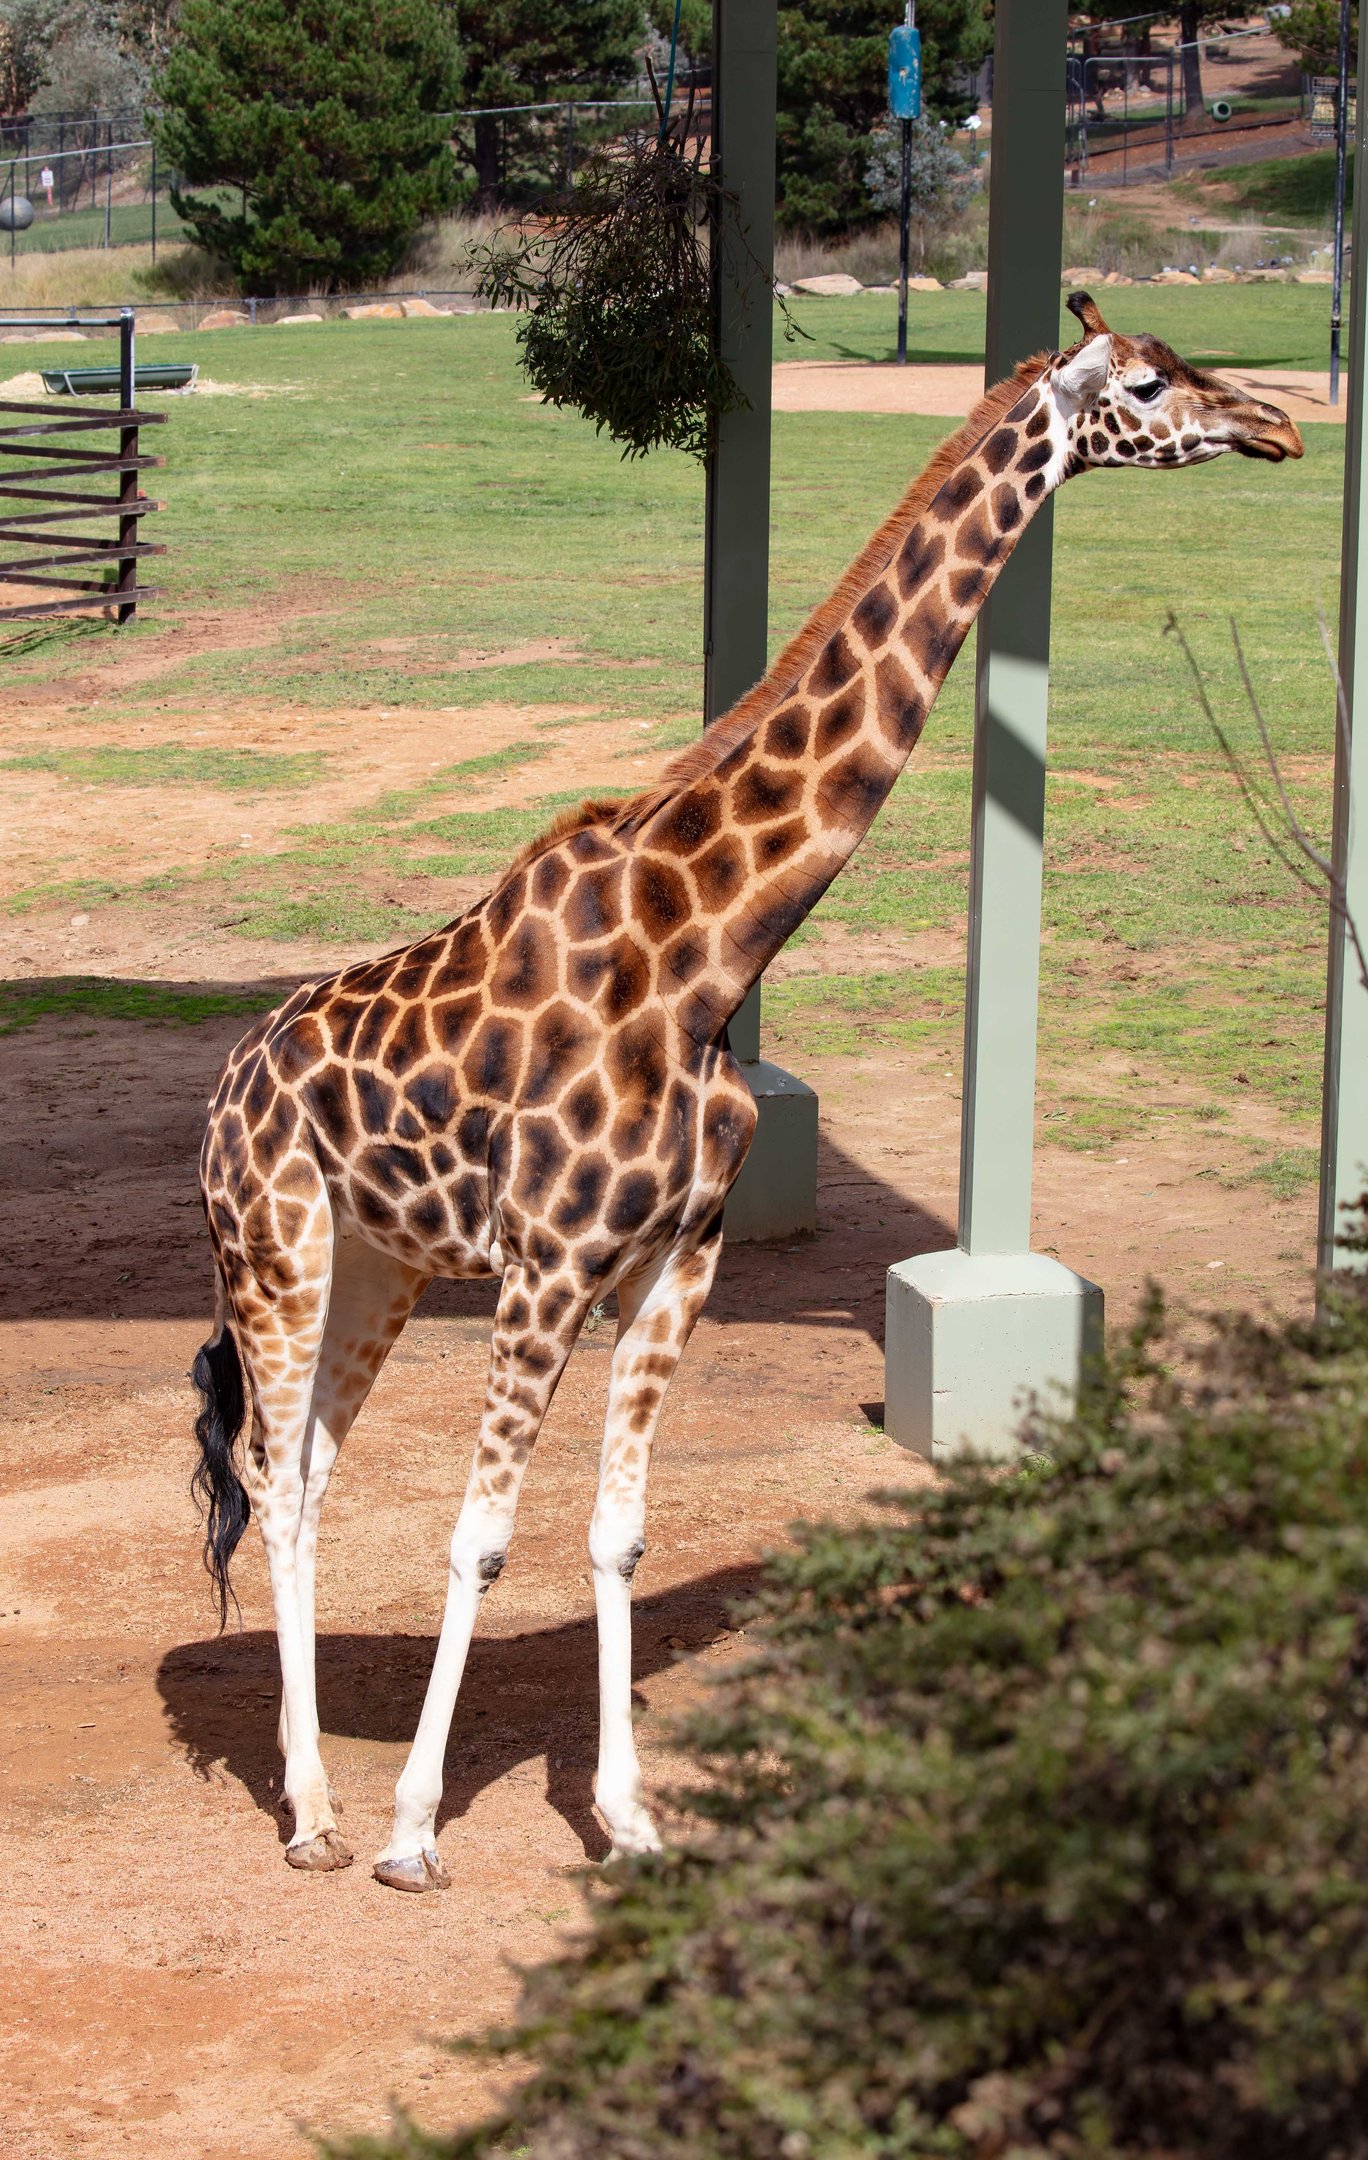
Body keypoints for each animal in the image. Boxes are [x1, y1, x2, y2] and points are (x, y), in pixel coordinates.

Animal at [193, 293, 1302, 1890]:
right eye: (1148, 384)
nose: (1277, 423)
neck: (709, 950)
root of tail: (225, 1089)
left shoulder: (677, 1260)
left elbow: (616, 1535)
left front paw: (631, 1819)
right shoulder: (548, 1266)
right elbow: (482, 1535)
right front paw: (416, 1832)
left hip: (374, 1264)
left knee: (307, 1481)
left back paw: (317, 1798)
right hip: (270, 1249)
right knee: (276, 1480)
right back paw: (321, 1818)